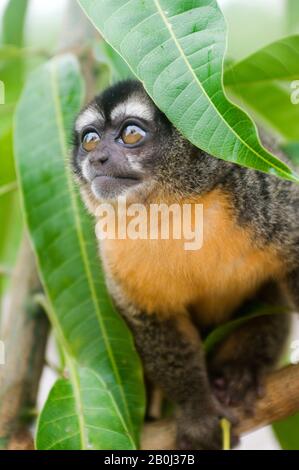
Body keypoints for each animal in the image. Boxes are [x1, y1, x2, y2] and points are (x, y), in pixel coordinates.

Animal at [71, 81, 298, 452]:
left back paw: (239, 372)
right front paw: (199, 412)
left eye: (131, 134)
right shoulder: (114, 248)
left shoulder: (259, 192)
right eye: (89, 139)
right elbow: (153, 318)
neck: (172, 206)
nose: (96, 158)